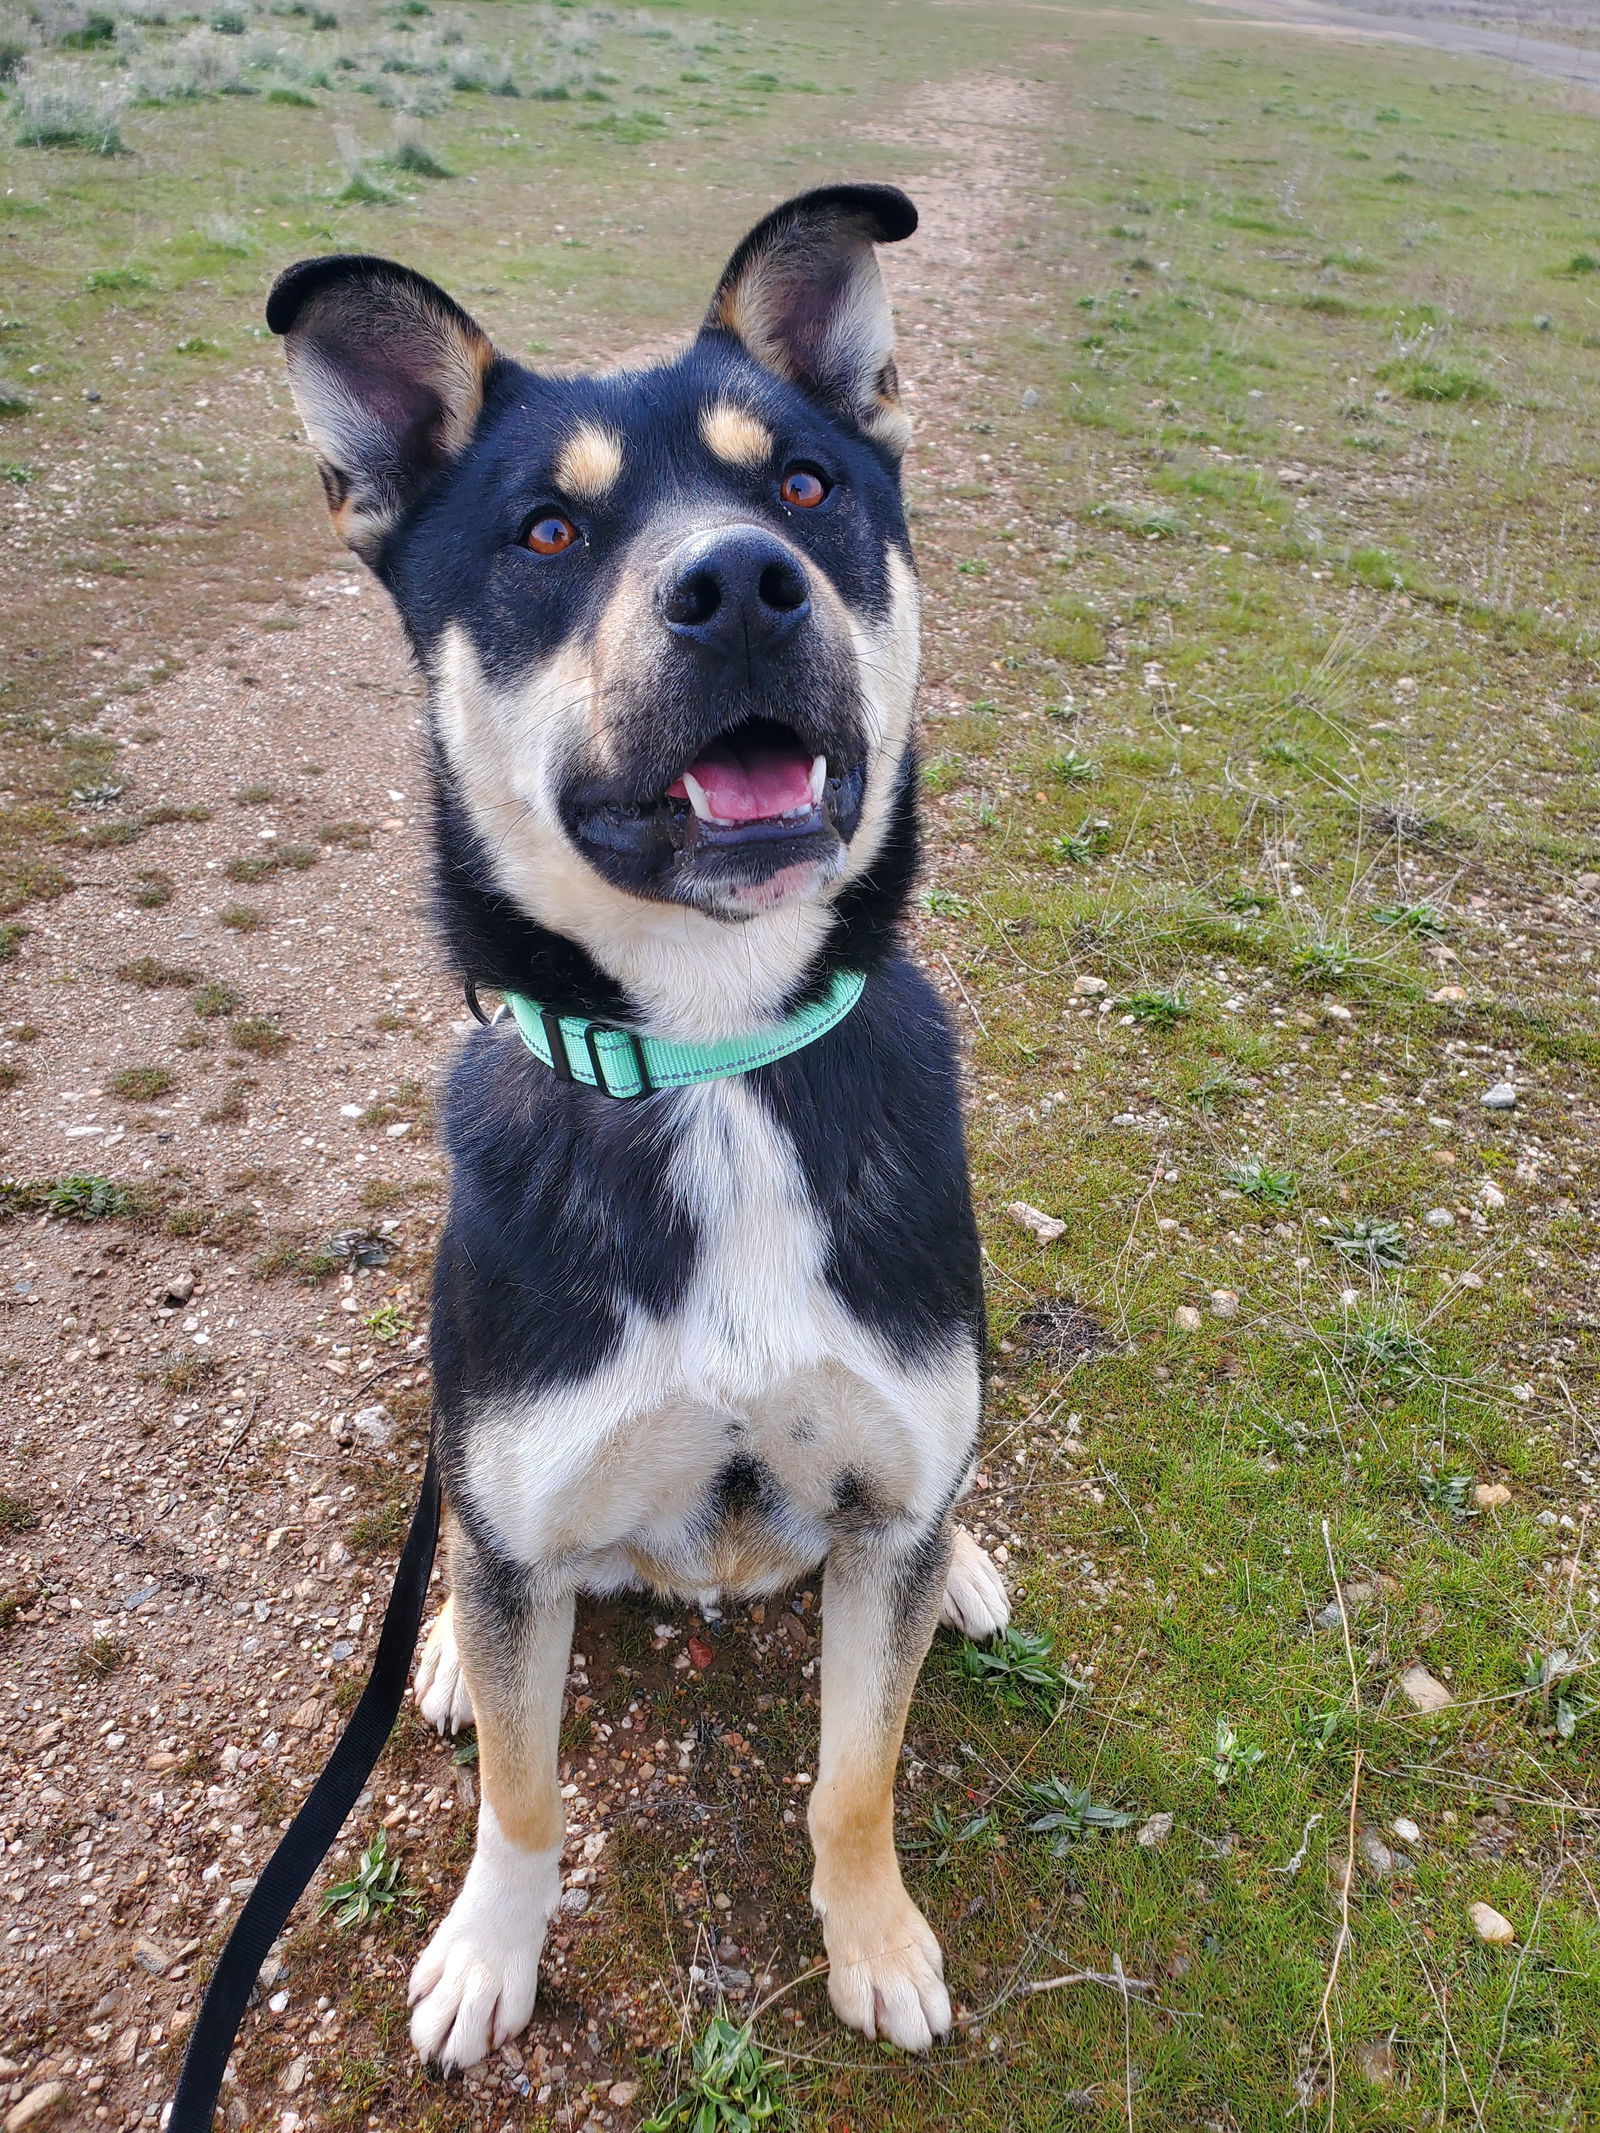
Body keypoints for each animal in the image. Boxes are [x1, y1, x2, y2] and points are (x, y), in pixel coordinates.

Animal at [267, 191, 1006, 2073]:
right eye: (546, 530)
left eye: (805, 485)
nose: (740, 582)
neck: (712, 1051)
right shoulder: (522, 1514)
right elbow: (527, 1793)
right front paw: (487, 1951)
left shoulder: (883, 1487)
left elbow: (854, 1773)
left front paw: (873, 1936)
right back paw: (440, 1656)